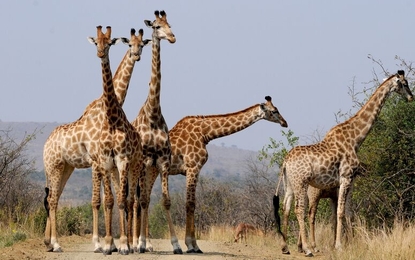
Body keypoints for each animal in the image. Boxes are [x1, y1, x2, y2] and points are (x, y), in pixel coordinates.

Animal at [42, 26, 149, 254]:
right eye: (130, 44)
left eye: (142, 44)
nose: (136, 55)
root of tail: (46, 144)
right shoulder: (95, 161)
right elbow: (97, 201)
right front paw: (100, 244)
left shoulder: (104, 162)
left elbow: (106, 199)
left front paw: (111, 244)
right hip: (54, 166)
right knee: (52, 199)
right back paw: (56, 243)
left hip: (66, 167)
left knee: (54, 197)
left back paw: (49, 242)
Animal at [274, 69, 414, 256]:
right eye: (404, 84)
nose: (411, 97)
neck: (356, 139)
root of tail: (285, 161)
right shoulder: (346, 177)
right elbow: (341, 212)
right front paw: (339, 246)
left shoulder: (345, 181)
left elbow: (343, 213)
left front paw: (343, 244)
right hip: (301, 182)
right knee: (300, 209)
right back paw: (307, 249)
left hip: (289, 183)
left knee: (286, 207)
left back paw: (285, 247)